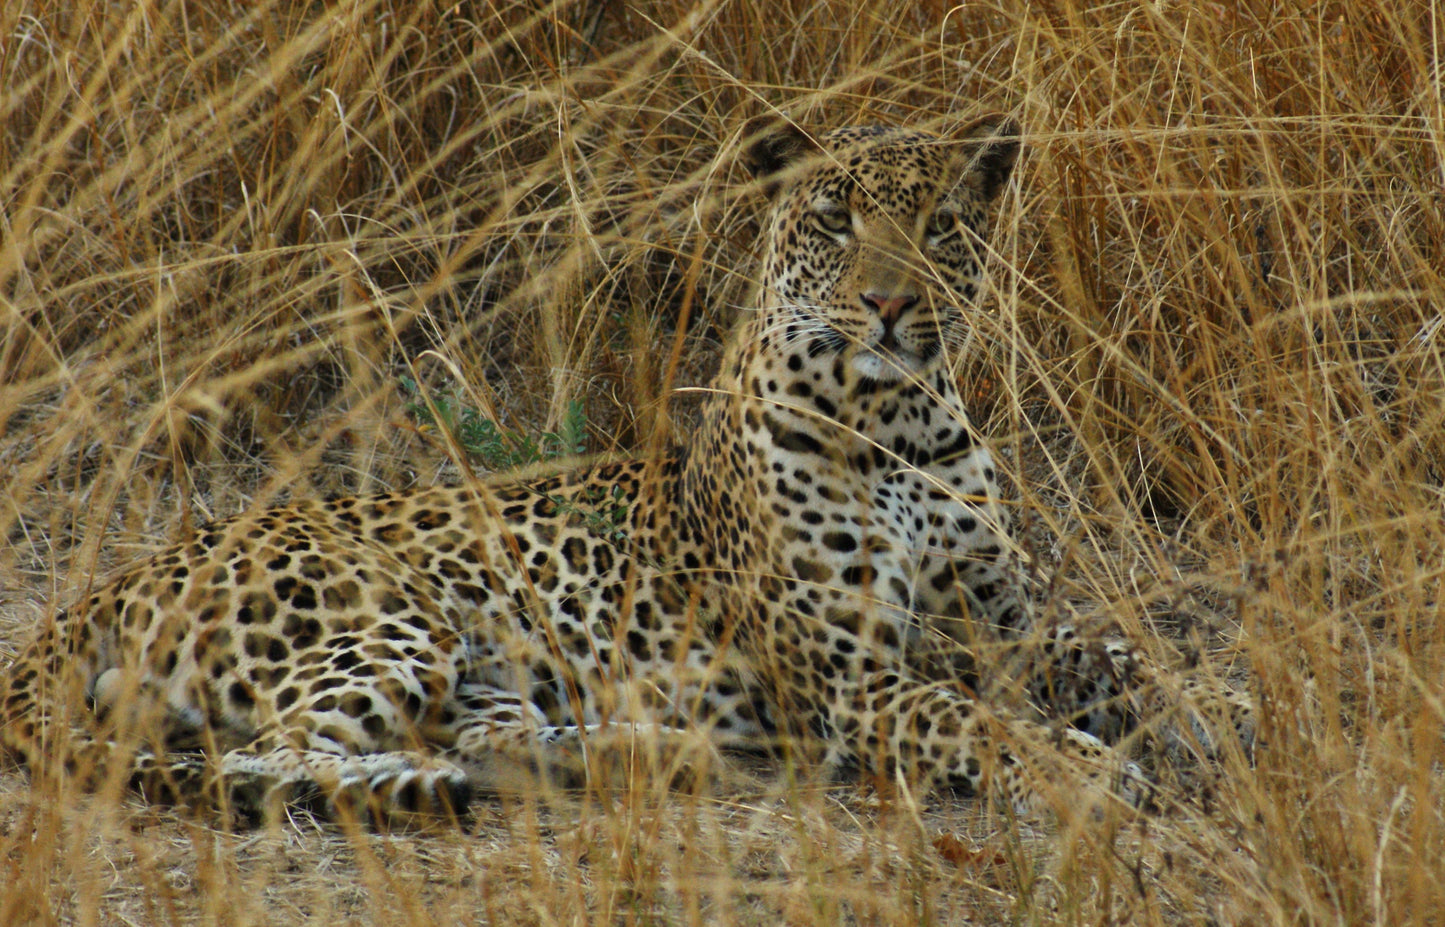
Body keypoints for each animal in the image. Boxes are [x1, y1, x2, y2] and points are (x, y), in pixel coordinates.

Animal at [0, 116, 1248, 820]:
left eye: (940, 223)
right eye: (833, 220)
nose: (891, 305)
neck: (901, 421)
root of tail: (116, 580)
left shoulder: (1007, 622)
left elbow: (1127, 655)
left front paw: (1227, 699)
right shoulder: (851, 678)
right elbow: (976, 723)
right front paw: (1083, 770)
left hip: (488, 657)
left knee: (479, 731)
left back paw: (635, 753)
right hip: (389, 620)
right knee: (268, 755)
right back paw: (433, 786)